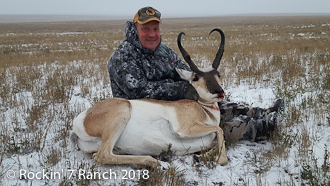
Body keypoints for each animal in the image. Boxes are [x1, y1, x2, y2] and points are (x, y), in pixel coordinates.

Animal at [71, 28, 228, 167]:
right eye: (195, 78)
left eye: (218, 74)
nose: (219, 92)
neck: (205, 111)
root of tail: (83, 117)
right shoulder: (184, 130)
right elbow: (220, 133)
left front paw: (198, 157)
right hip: (122, 112)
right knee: (102, 155)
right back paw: (154, 162)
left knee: (99, 154)